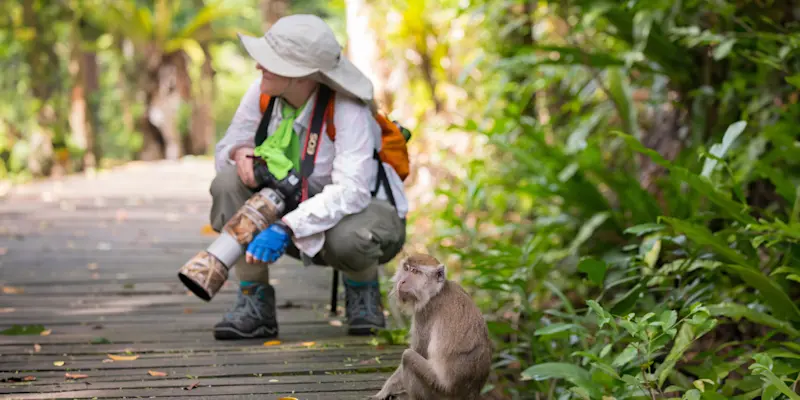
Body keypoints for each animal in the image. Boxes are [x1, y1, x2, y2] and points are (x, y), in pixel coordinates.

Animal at [370, 253, 493, 400]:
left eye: (415, 271)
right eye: (406, 268)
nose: (402, 281)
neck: (436, 292)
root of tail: (470, 394)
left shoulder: (425, 311)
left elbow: (419, 350)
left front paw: (384, 391)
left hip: (437, 389)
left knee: (408, 356)